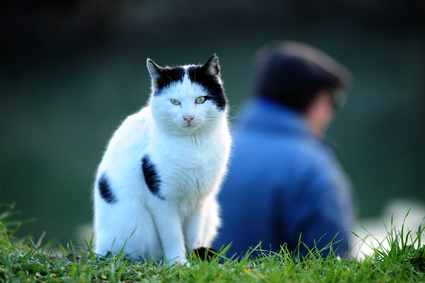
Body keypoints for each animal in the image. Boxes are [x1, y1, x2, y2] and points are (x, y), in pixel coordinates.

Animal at [93, 55, 232, 266]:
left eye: (200, 100)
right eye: (175, 102)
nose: (188, 117)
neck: (194, 145)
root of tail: (99, 248)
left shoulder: (200, 199)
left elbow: (194, 235)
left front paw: (195, 259)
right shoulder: (161, 198)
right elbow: (172, 234)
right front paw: (179, 262)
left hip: (211, 210)